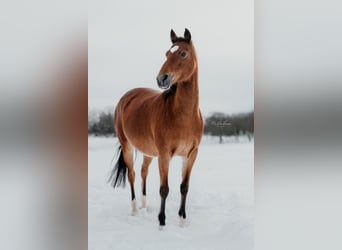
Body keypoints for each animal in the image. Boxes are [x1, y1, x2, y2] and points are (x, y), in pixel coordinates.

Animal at [109, 28, 203, 227]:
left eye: (183, 53)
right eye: (167, 54)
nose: (162, 79)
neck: (183, 116)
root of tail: (126, 97)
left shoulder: (191, 155)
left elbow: (184, 187)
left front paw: (182, 220)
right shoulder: (164, 154)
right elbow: (164, 189)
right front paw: (162, 222)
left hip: (149, 152)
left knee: (143, 172)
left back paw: (144, 205)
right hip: (128, 147)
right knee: (132, 174)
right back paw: (135, 210)